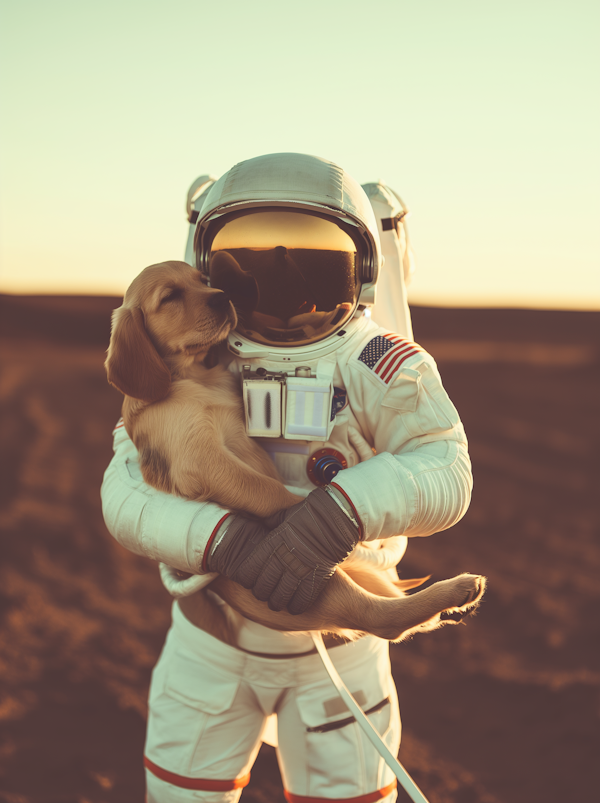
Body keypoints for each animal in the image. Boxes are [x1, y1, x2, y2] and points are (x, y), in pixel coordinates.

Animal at [105, 262, 486, 648]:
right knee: (381, 618)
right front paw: (300, 515)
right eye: (169, 297)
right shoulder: (200, 460)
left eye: (202, 281)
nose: (224, 297)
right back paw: (458, 589)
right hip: (317, 584)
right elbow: (268, 490)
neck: (195, 377)